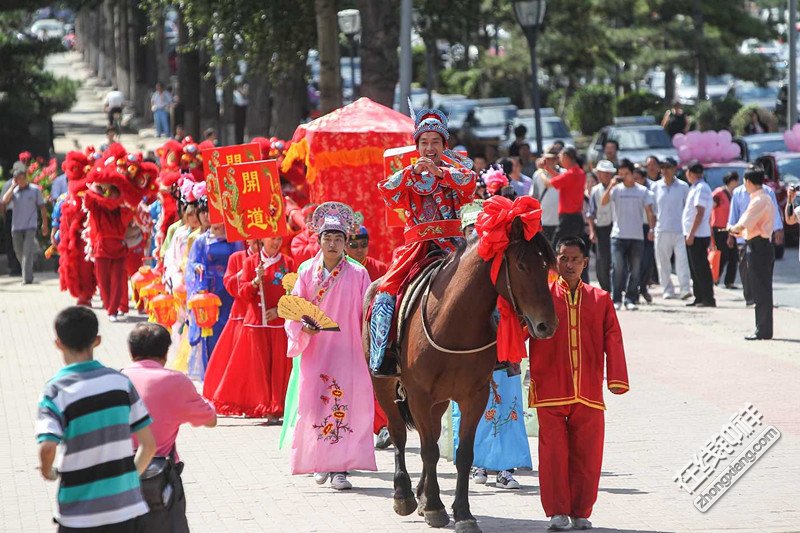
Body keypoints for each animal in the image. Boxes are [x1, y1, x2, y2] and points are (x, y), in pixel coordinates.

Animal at [364, 216, 556, 532]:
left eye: (546, 265)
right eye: (521, 265)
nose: (546, 325)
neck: (453, 321)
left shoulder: (474, 395)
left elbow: (463, 454)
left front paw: (462, 513)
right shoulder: (418, 394)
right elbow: (428, 450)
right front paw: (435, 507)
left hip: (440, 400)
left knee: (429, 433)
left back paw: (422, 494)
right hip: (384, 383)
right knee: (399, 433)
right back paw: (404, 495)